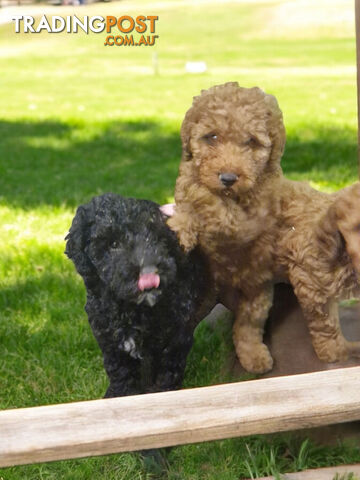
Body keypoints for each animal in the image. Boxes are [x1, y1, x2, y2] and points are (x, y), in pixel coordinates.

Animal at [66, 191, 210, 398]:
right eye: (114, 243)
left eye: (155, 239)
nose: (149, 272)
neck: (133, 308)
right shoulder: (110, 340)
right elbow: (120, 370)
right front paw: (120, 393)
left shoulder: (176, 334)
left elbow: (167, 369)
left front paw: (161, 392)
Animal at [167, 82, 360, 374]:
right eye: (212, 137)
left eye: (251, 142)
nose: (228, 178)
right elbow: (195, 190)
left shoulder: (254, 218)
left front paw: (338, 352)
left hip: (256, 296)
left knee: (246, 326)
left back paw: (255, 357)